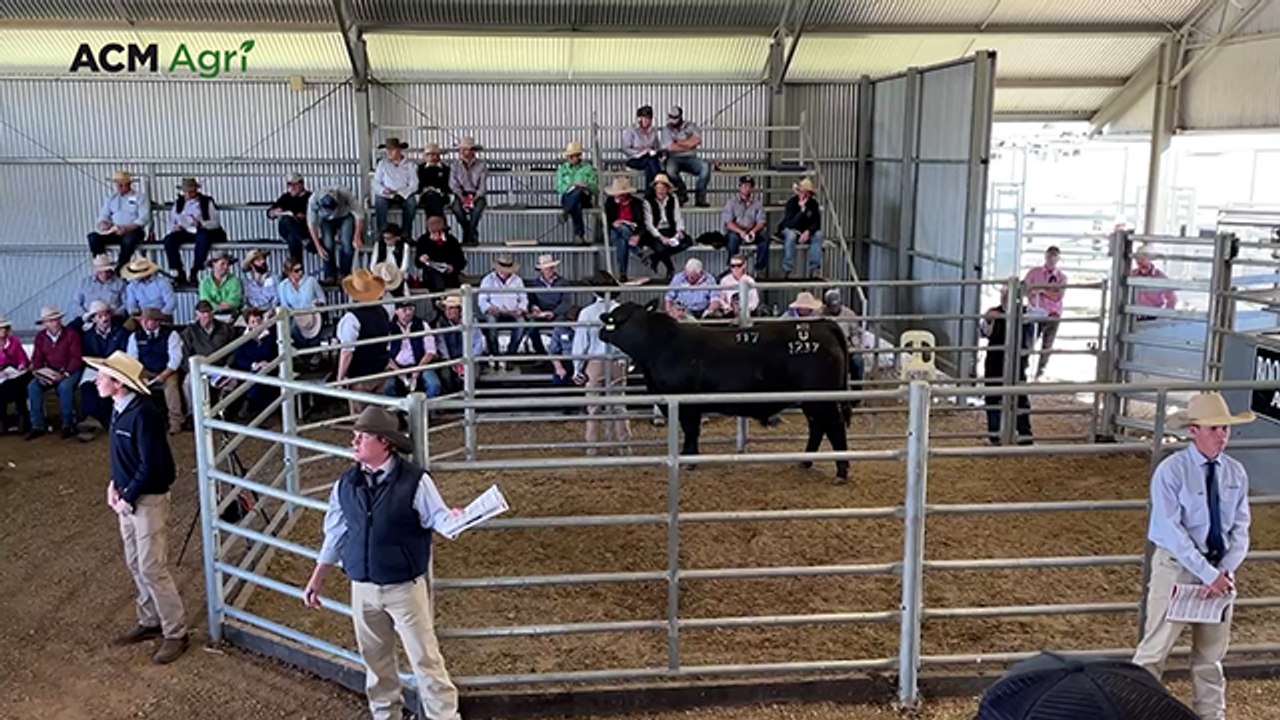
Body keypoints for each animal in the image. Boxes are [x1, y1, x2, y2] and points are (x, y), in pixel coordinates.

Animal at [599, 302, 854, 483]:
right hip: (810, 401)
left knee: (834, 426)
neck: (660, 346)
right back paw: (806, 461)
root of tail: (822, 324)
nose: (601, 330)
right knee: (817, 426)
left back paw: (841, 471)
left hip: (822, 399)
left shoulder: (687, 404)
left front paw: (688, 461)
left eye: (615, 319)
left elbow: (691, 432)